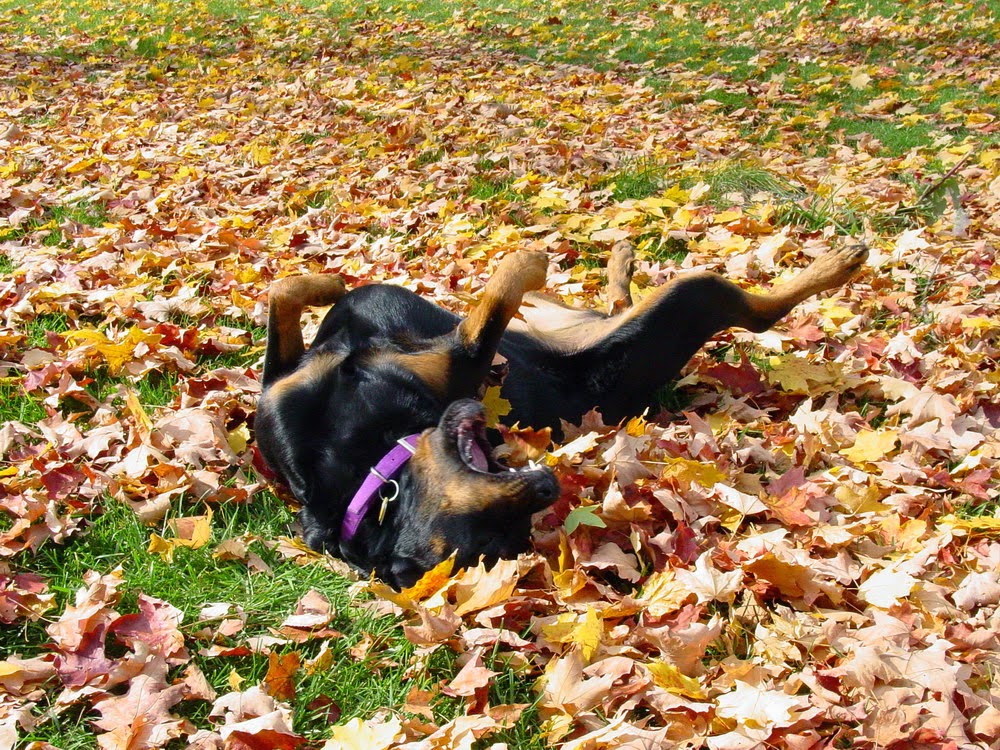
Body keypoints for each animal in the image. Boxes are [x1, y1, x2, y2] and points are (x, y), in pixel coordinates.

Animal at [256, 243, 867, 588]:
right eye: (494, 538)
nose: (549, 485)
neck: (368, 464)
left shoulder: (284, 387)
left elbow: (283, 292)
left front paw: (326, 280)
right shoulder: (461, 355)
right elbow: (495, 301)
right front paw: (529, 261)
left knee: (620, 300)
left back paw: (622, 259)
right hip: (683, 304)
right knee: (761, 313)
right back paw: (838, 262)